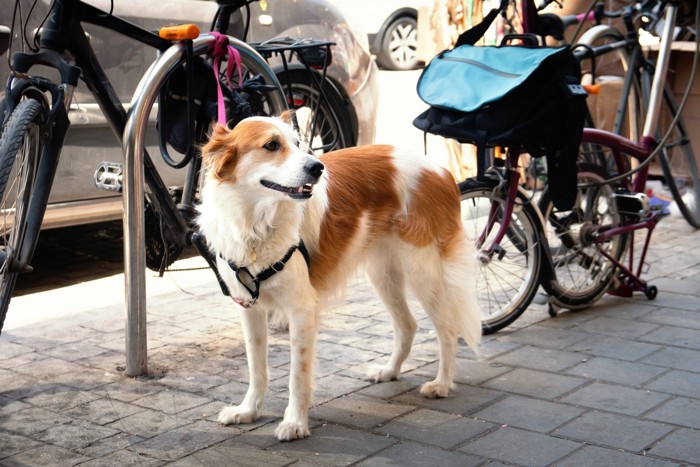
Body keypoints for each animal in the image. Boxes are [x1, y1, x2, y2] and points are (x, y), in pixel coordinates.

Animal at [197, 113, 482, 442]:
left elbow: (297, 375)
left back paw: (441, 384)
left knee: (447, 328)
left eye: (297, 143)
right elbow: (257, 368)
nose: (317, 167)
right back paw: (390, 371)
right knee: (407, 326)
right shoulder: (249, 308)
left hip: (422, 270)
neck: (256, 223)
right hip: (383, 274)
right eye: (271, 145)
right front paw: (247, 411)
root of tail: (440, 170)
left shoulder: (301, 310)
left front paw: (294, 423)